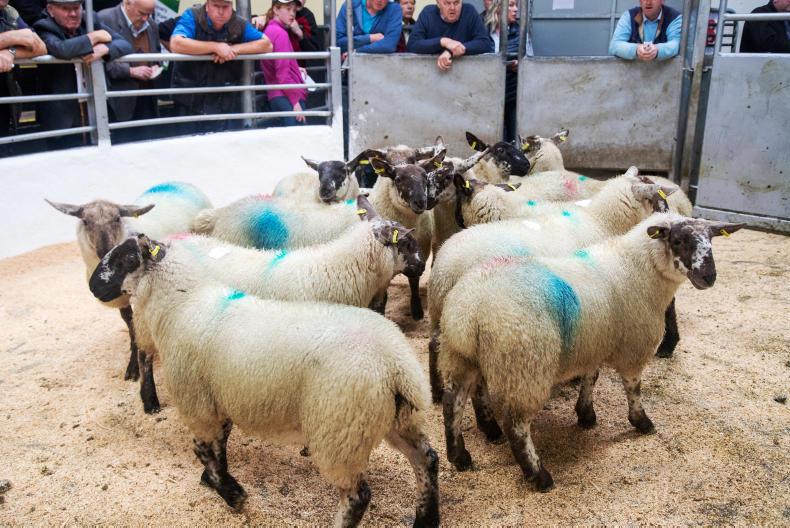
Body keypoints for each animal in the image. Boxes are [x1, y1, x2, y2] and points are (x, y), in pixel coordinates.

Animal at [45, 181, 212, 385]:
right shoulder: (121, 300)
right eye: (85, 222)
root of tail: (177, 182)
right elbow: (130, 325)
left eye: (117, 218)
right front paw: (134, 363)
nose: (105, 249)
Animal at [88, 234, 440, 527]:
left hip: (340, 432)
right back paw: (426, 520)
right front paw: (214, 480)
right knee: (427, 459)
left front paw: (232, 493)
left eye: (124, 259)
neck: (181, 304)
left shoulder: (197, 403)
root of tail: (396, 364)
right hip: (393, 419)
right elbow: (220, 446)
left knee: (358, 495)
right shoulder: (217, 397)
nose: (92, 287)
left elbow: (203, 450)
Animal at [427, 170, 676, 403]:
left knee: (433, 345)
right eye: (658, 202)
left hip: (443, 318)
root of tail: (446, 268)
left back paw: (437, 392)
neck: (602, 220)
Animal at [438, 214, 744, 491]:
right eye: (678, 240)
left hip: (461, 357)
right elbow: (633, 387)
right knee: (517, 425)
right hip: (524, 366)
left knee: (453, 403)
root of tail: (470, 311)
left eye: (712, 240)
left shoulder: (595, 342)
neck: (638, 268)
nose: (709, 276)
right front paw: (641, 421)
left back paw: (460, 456)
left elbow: (591, 378)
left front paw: (585, 415)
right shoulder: (633, 347)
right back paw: (538, 475)